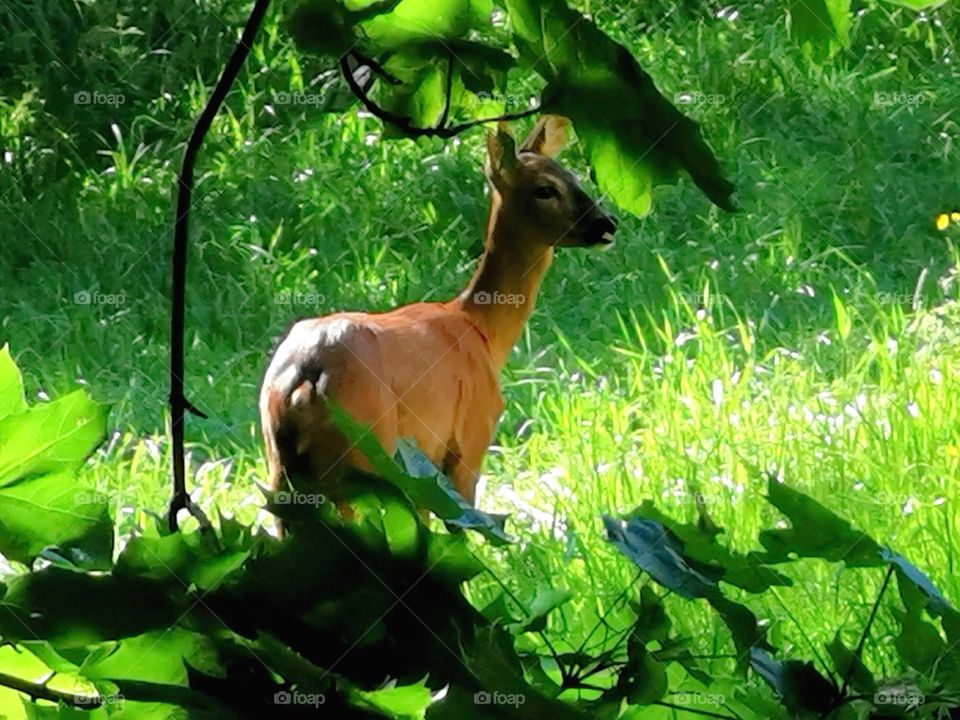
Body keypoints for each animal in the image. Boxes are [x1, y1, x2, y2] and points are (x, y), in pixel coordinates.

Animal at [258, 114, 616, 524]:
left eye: (573, 176)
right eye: (545, 189)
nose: (607, 225)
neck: (481, 330)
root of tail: (305, 381)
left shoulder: (423, 465)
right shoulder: (469, 438)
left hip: (281, 471)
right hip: (367, 452)